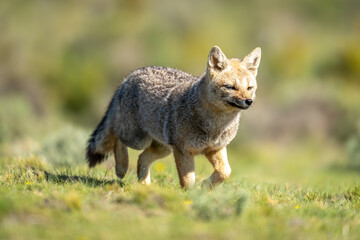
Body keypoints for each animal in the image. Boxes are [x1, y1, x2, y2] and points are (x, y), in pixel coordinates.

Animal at [87, 45, 262, 188]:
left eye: (249, 88)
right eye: (231, 87)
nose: (249, 101)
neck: (215, 126)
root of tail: (129, 76)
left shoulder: (215, 148)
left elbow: (225, 172)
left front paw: (206, 187)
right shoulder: (182, 150)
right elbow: (188, 180)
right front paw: (190, 196)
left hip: (163, 148)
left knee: (141, 158)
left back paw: (145, 185)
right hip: (138, 140)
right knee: (117, 135)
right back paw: (121, 168)